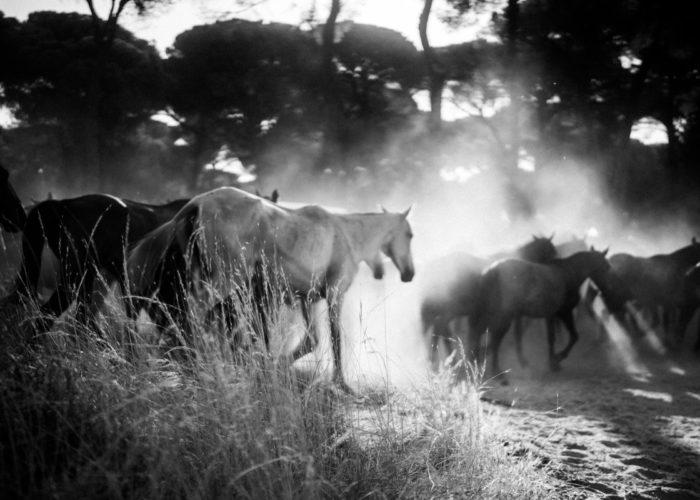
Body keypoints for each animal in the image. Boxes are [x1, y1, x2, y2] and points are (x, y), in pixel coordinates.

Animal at [127, 187, 415, 392]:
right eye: (410, 235)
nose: (409, 274)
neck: (345, 233)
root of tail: (195, 204)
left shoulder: (307, 299)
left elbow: (311, 341)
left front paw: (272, 365)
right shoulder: (334, 295)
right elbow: (335, 339)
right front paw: (342, 384)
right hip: (223, 280)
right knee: (193, 314)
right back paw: (203, 365)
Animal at [420, 235, 557, 371]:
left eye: (553, 251)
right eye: (549, 252)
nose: (551, 274)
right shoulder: (515, 314)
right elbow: (516, 333)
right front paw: (521, 360)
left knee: (440, 330)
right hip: (450, 311)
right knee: (439, 329)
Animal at [469, 248, 610, 382]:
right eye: (605, 267)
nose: (605, 291)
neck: (568, 275)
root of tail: (490, 271)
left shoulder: (554, 315)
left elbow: (556, 338)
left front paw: (554, 362)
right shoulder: (564, 313)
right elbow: (569, 337)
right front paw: (557, 360)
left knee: (481, 334)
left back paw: (477, 364)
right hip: (503, 316)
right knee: (493, 339)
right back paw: (495, 371)